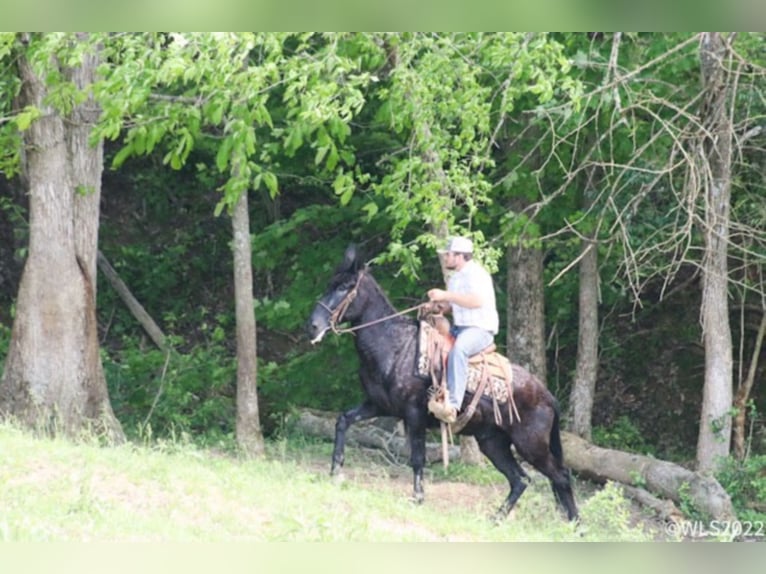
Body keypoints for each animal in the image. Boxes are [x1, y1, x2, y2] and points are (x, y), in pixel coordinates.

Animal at [306, 245, 576, 524]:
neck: (395, 345)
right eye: (330, 284)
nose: (313, 326)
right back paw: (497, 519)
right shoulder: (378, 405)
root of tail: (548, 397)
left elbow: (417, 458)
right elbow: (343, 420)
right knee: (521, 479)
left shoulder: (414, 414)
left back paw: (575, 525)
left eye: (345, 286)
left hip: (531, 445)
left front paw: (417, 498)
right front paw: (335, 472)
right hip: (493, 442)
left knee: (560, 476)